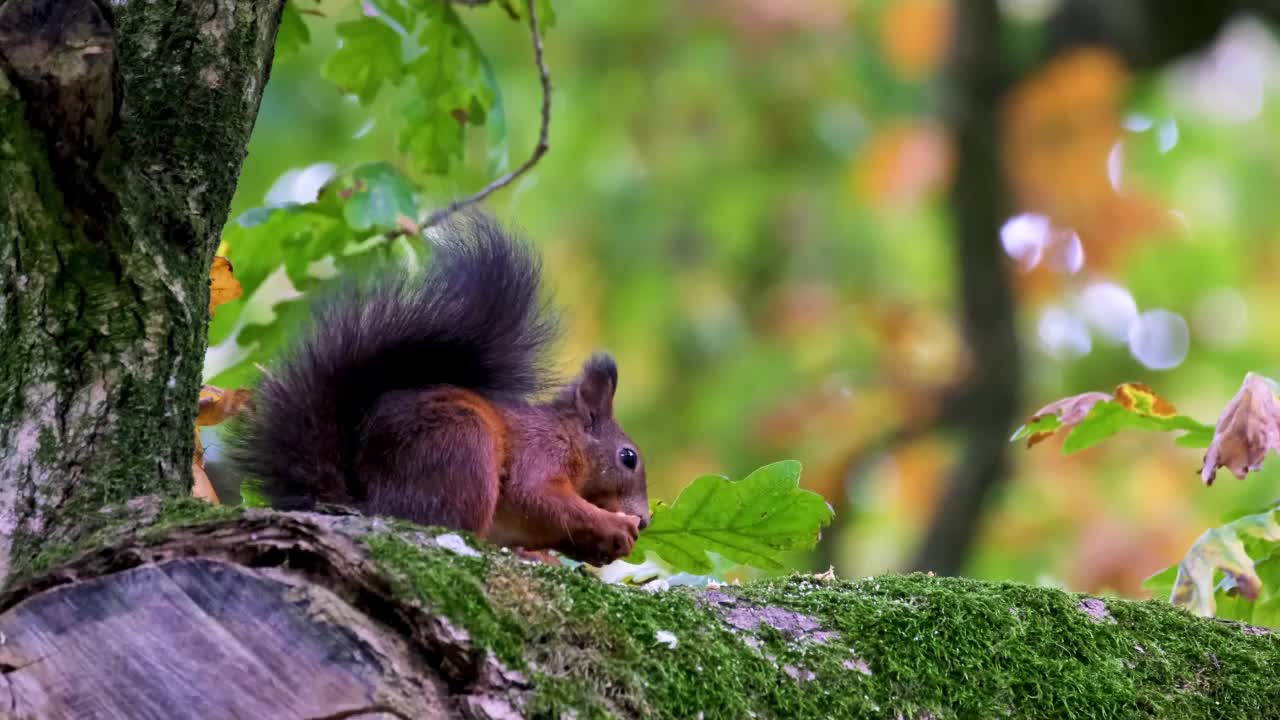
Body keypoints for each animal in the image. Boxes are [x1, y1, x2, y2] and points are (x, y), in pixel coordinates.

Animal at [222, 210, 650, 563]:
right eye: (628, 457)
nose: (644, 520)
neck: (569, 436)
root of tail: (370, 502)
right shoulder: (539, 451)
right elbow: (537, 495)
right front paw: (612, 525)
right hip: (462, 448)